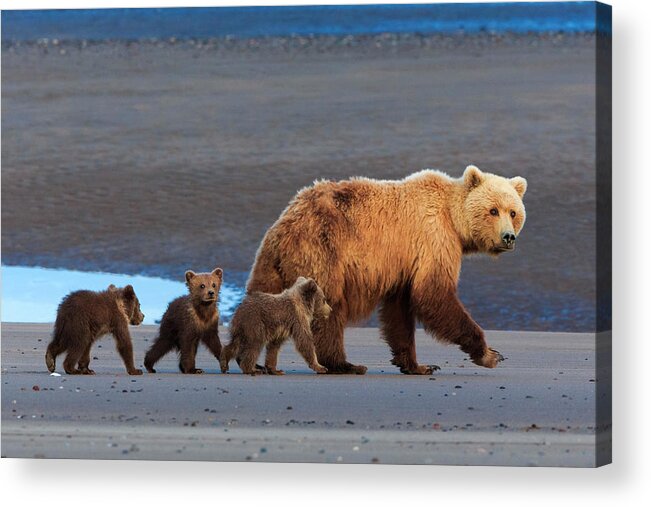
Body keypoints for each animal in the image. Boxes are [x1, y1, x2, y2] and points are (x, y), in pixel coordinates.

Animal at [247, 165, 528, 376]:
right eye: (493, 210)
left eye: (513, 212)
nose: (508, 237)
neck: (453, 220)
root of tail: (285, 224)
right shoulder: (433, 240)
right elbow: (433, 295)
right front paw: (489, 354)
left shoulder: (405, 265)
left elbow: (400, 311)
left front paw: (417, 365)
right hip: (323, 251)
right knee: (329, 307)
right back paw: (345, 364)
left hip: (271, 262)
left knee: (260, 295)